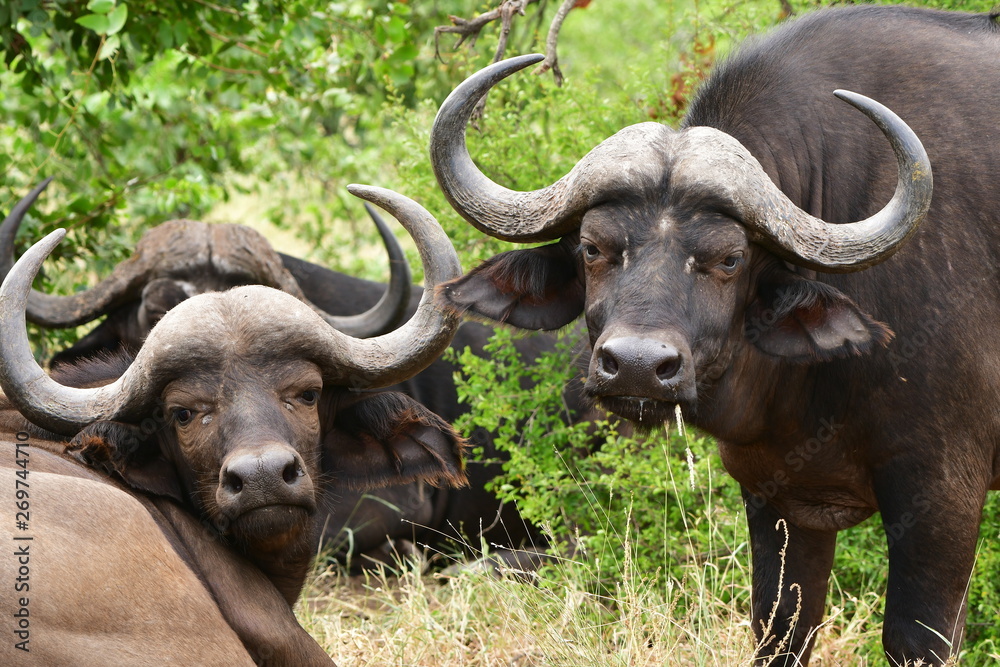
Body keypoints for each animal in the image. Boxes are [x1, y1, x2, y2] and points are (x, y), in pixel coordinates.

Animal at [428, 6, 1000, 667]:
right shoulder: (775, 494)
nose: (637, 367)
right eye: (593, 248)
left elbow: (915, 636)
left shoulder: (941, 496)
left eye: (729, 258)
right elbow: (781, 627)